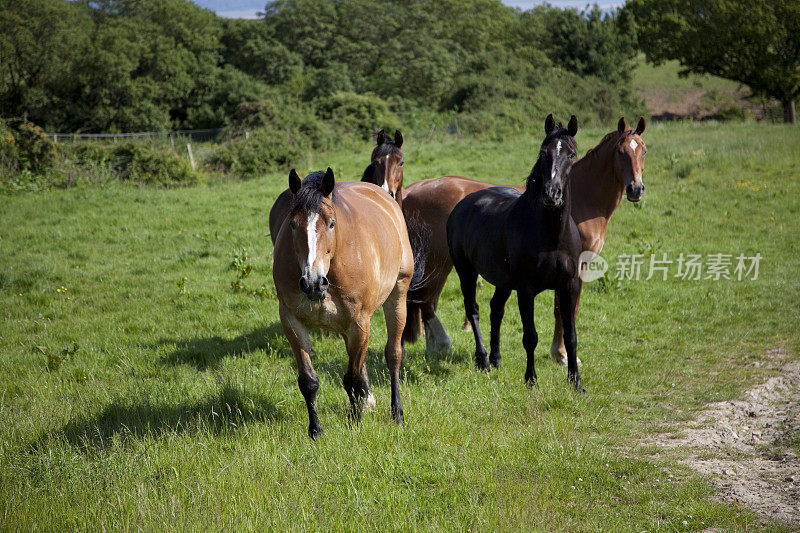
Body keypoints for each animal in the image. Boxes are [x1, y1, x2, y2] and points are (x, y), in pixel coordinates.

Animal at [274, 166, 416, 436]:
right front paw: (316, 430)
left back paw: (397, 413)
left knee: (393, 355)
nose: (313, 282)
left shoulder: (359, 323)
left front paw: (355, 420)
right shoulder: (292, 322)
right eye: (292, 224)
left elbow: (351, 377)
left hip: (398, 296)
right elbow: (309, 381)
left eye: (331, 223)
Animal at [404, 116, 648, 364]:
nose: (636, 189)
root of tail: (411, 191)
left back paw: (433, 348)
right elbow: (563, 310)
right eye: (620, 152)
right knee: (425, 300)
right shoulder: (577, 267)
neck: (584, 199)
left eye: (643, 151)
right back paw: (445, 344)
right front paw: (562, 355)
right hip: (441, 261)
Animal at [446, 113, 584, 390]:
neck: (552, 237)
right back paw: (483, 360)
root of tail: (461, 205)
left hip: (503, 281)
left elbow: (571, 335)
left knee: (495, 309)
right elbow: (530, 336)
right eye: (543, 153)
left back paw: (496, 358)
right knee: (473, 309)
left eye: (572, 154)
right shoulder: (526, 289)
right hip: (466, 272)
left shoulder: (569, 285)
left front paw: (576, 382)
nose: (551, 194)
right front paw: (531, 380)